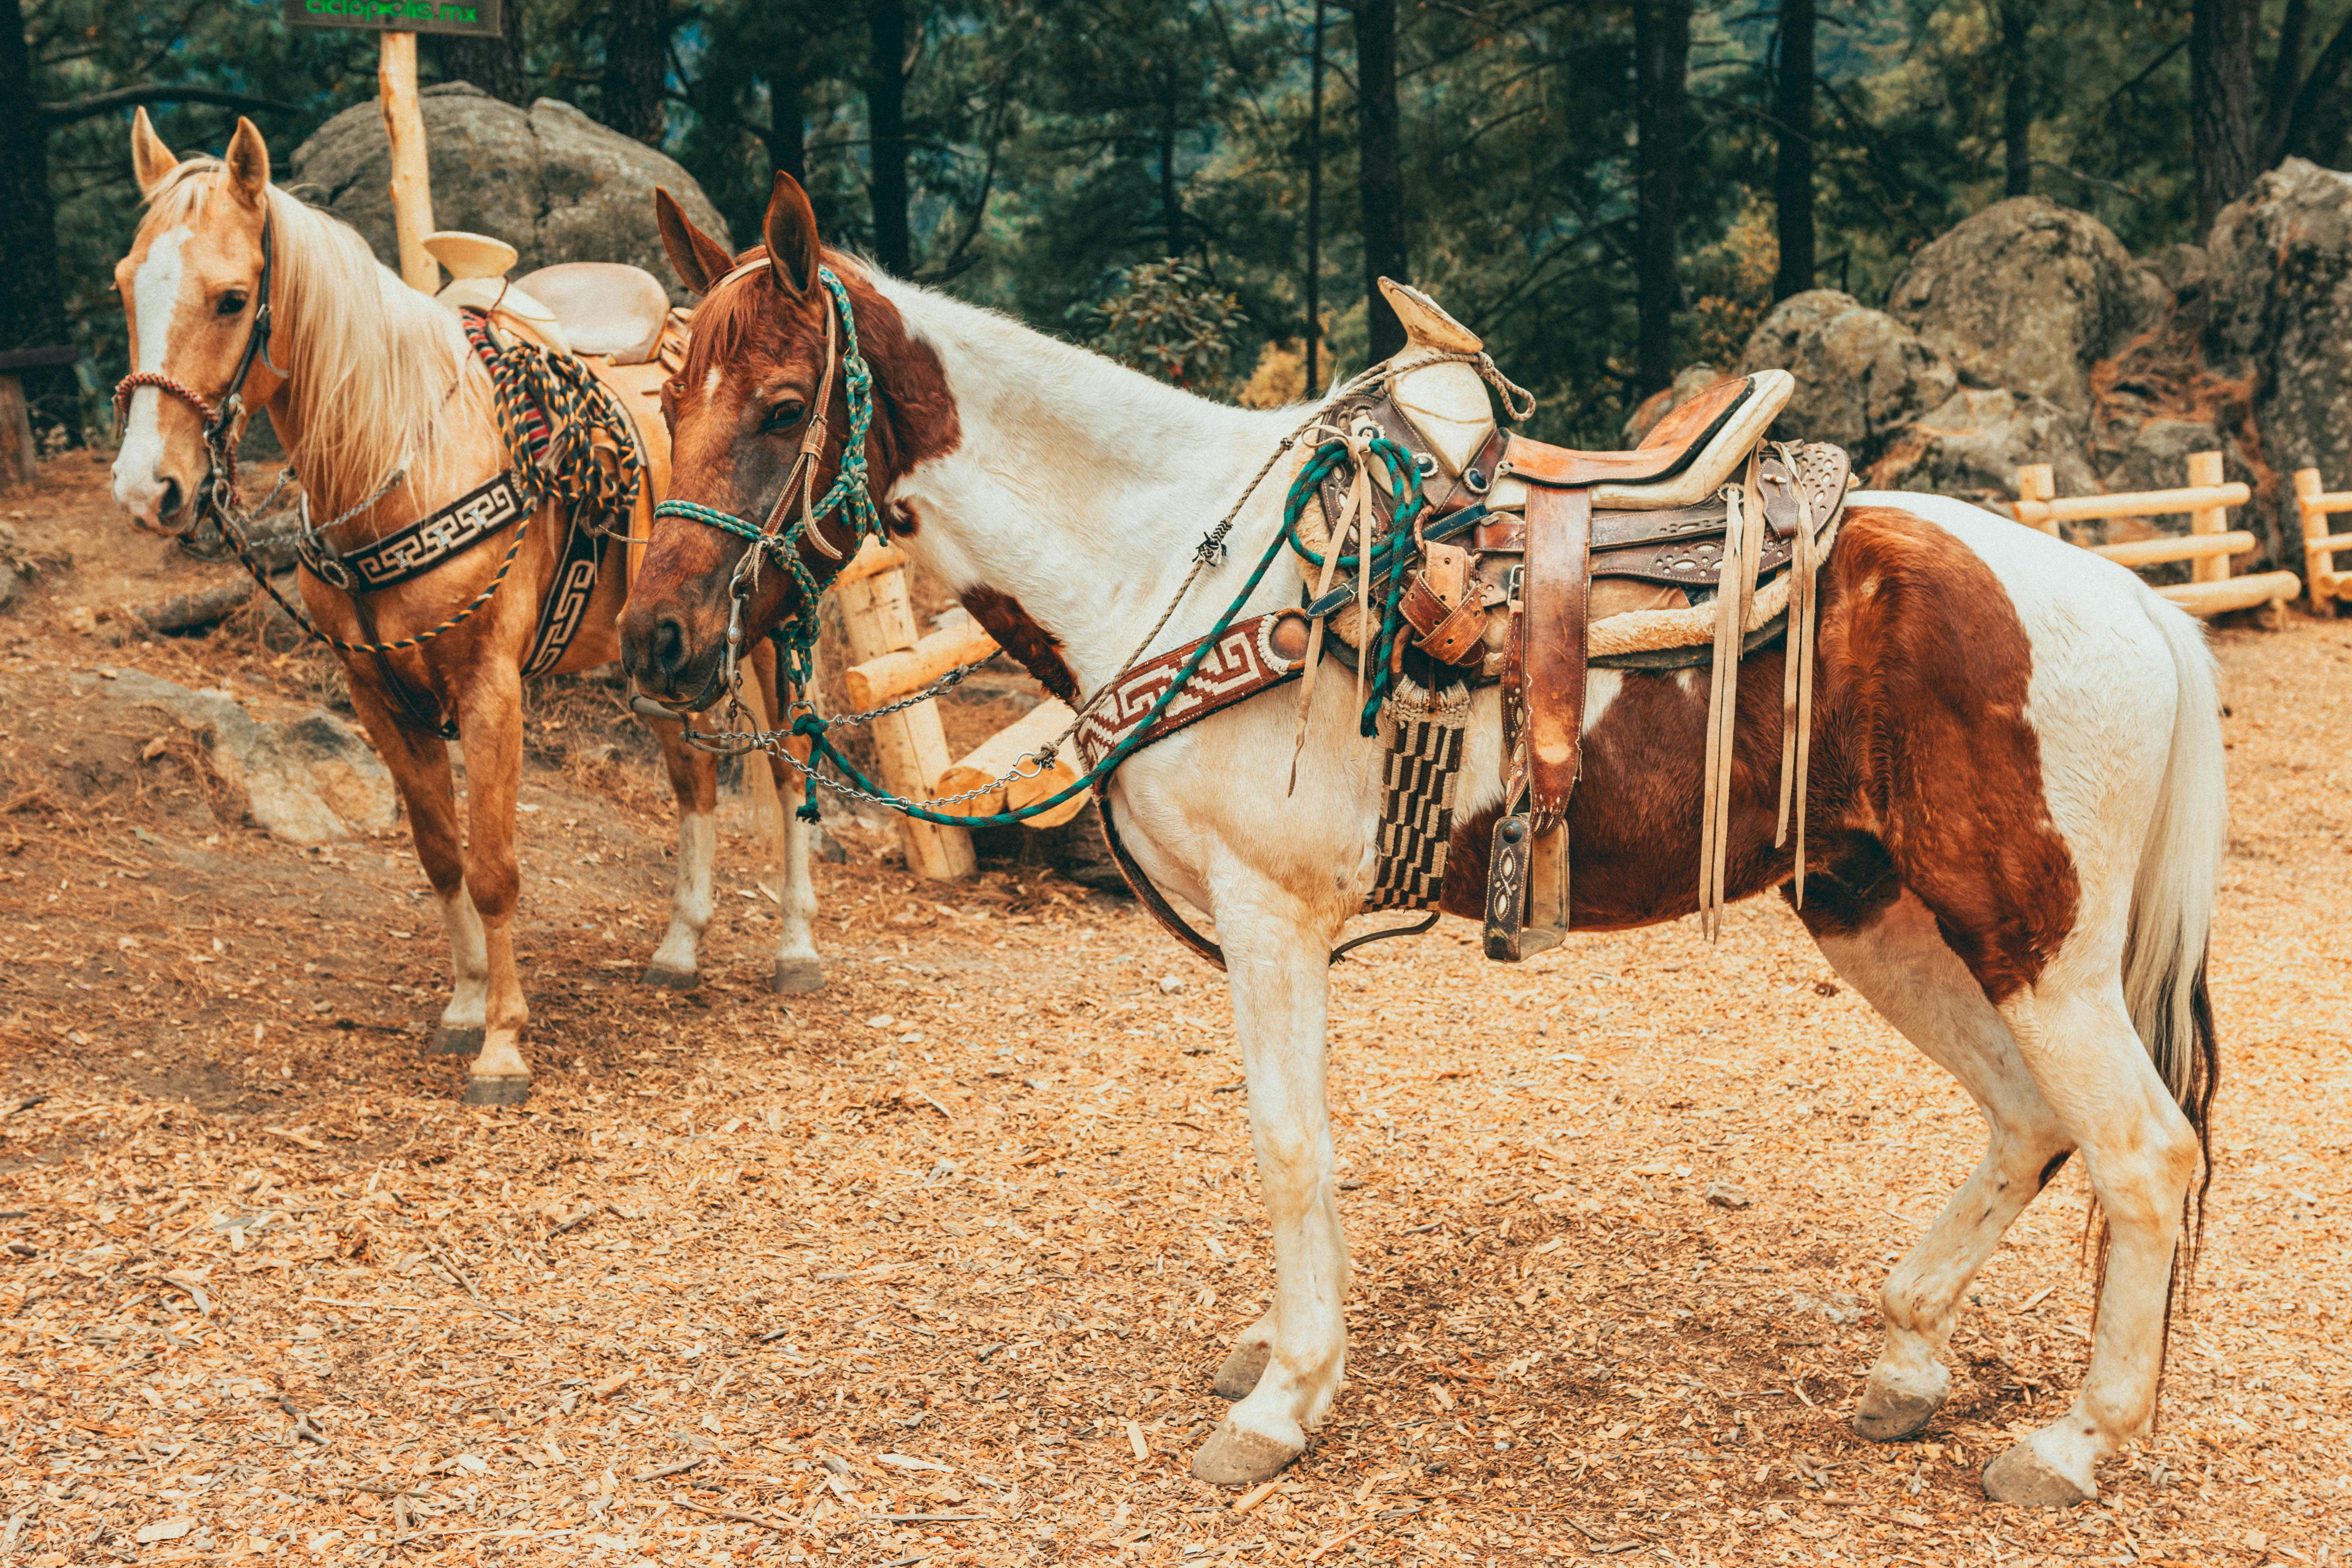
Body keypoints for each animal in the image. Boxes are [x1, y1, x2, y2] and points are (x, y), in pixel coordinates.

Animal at [106, 113, 828, 1106]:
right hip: (659, 657)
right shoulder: (376, 694)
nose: (149, 490)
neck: (403, 457)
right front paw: (462, 1008)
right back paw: (680, 949)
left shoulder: (490, 690)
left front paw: (503, 1045)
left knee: (791, 771)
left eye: (230, 299)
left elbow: (492, 868)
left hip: (770, 632)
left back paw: (796, 950)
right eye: (125, 285)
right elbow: (440, 852)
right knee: (694, 779)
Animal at [620, 172, 2223, 1508]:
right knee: (2028, 1119)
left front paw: (1281, 1401)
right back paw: (1903, 1359)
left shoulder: (1270, 916)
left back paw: (2073, 1442)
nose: (657, 640)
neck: (1161, 548)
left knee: (2142, 1150)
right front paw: (1281, 1344)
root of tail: (2130, 595)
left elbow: (1286, 1142)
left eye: (781, 404)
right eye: (666, 392)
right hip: (1874, 909)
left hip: (2031, 935)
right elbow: (1296, 1136)